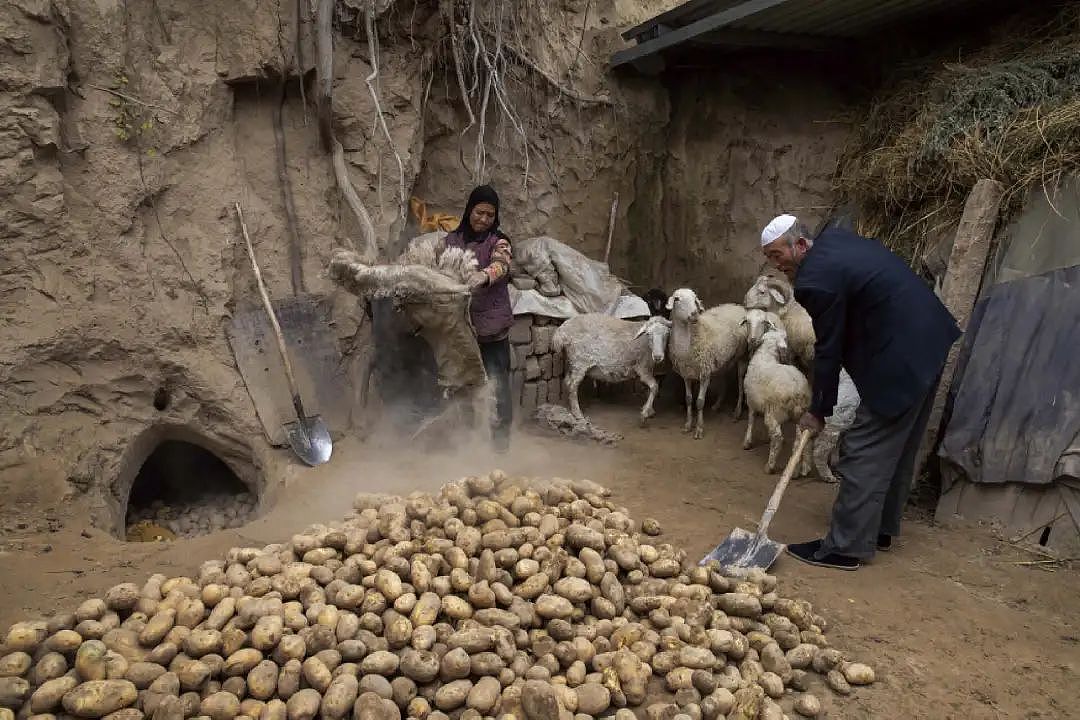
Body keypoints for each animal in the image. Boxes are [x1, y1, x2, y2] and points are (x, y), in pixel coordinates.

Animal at [660, 289, 747, 440]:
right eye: (677, 299)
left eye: (695, 299)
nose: (694, 314)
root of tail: (736, 306)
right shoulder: (686, 374)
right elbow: (689, 399)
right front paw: (688, 425)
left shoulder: (704, 374)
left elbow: (700, 402)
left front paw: (699, 429)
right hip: (721, 359)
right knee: (724, 380)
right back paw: (717, 405)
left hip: (742, 356)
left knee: (741, 384)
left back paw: (737, 411)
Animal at [743, 323, 812, 474]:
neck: (766, 356)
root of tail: (797, 391)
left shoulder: (751, 400)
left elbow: (750, 420)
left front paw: (747, 442)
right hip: (801, 415)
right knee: (799, 442)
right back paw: (800, 469)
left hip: (773, 413)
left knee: (778, 438)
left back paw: (770, 466)